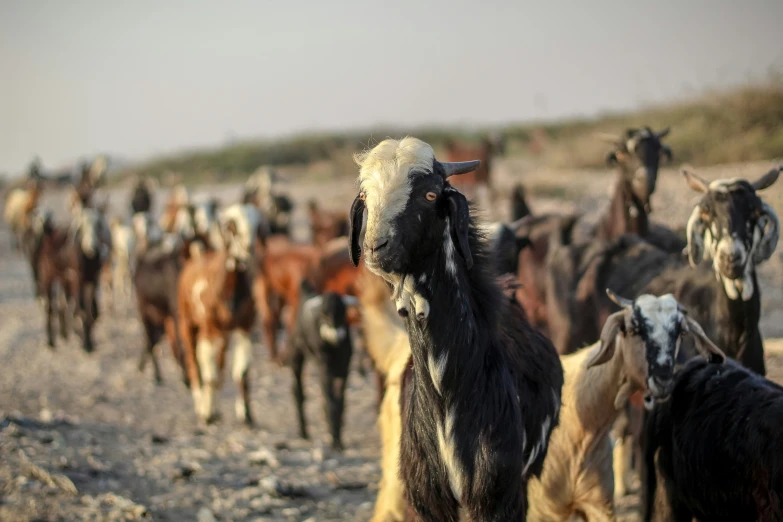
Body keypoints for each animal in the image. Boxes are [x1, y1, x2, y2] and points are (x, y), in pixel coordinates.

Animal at [288, 282, 356, 448]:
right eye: (324, 315)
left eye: (343, 312)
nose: (336, 335)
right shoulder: (325, 369)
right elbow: (331, 402)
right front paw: (334, 440)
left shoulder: (344, 369)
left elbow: (341, 402)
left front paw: (338, 438)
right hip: (296, 355)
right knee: (298, 391)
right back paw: (303, 432)